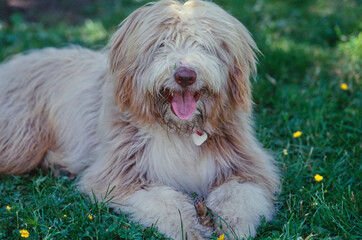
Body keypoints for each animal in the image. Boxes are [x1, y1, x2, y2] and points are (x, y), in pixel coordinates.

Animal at [0, 0, 280, 239]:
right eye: (162, 44)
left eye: (204, 45)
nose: (185, 76)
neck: (180, 129)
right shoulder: (122, 175)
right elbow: (168, 203)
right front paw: (191, 229)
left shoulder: (245, 166)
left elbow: (241, 197)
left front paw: (231, 228)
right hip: (21, 142)